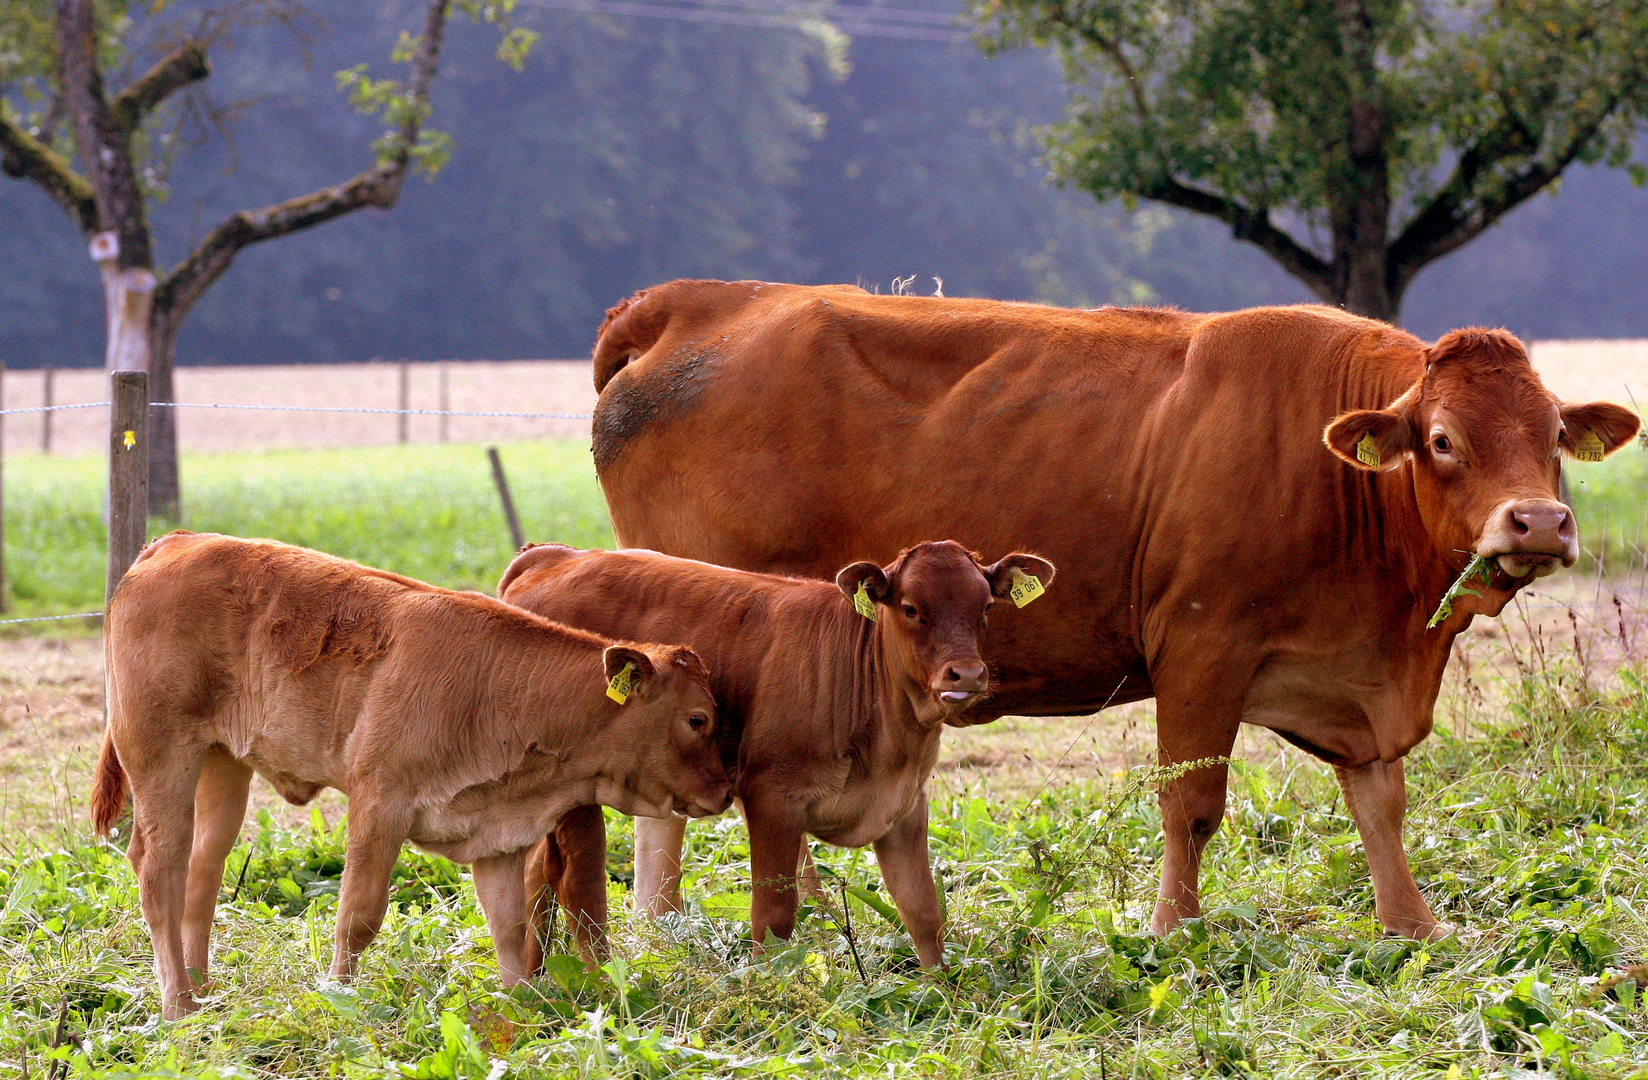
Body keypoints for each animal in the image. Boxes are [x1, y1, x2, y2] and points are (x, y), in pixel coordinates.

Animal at [94, 530, 728, 1022]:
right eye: (698, 718)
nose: (723, 790)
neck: (499, 687)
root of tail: (173, 542)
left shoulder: (497, 836)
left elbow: (509, 928)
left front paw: (524, 1006)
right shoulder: (380, 803)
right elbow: (358, 915)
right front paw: (338, 997)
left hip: (223, 762)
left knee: (202, 871)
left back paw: (202, 994)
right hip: (161, 757)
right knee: (158, 869)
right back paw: (177, 1006)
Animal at [494, 544, 1054, 969]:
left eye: (985, 609)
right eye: (912, 607)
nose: (967, 674)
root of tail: (554, 557)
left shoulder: (904, 806)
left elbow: (922, 910)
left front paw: (942, 995)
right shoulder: (772, 800)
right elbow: (774, 915)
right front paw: (768, 985)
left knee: (535, 874)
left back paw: (541, 978)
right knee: (575, 880)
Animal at [580, 280, 1634, 949]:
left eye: (1553, 435)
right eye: (1444, 440)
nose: (1538, 522)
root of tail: (692, 299)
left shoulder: (1355, 681)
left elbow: (1381, 801)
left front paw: (1411, 925)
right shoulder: (1203, 647)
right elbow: (1192, 805)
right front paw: (1175, 932)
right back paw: (676, 933)